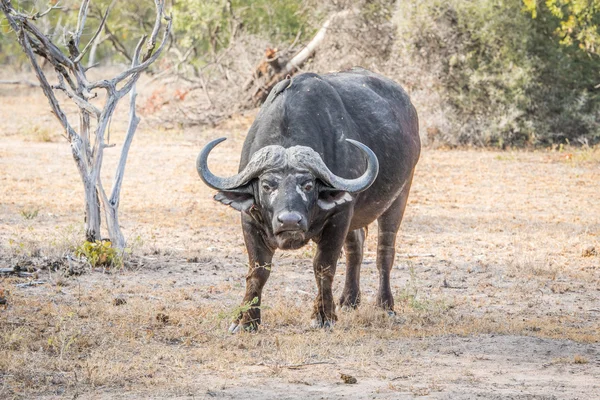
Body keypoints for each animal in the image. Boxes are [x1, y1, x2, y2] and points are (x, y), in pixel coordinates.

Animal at [196, 68, 418, 332]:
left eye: (309, 184)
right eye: (267, 185)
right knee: (356, 247)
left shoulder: (340, 215)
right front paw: (246, 321)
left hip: (399, 196)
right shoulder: (249, 219)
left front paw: (323, 315)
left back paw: (385, 305)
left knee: (385, 252)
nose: (290, 221)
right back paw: (349, 300)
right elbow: (258, 270)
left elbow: (323, 266)